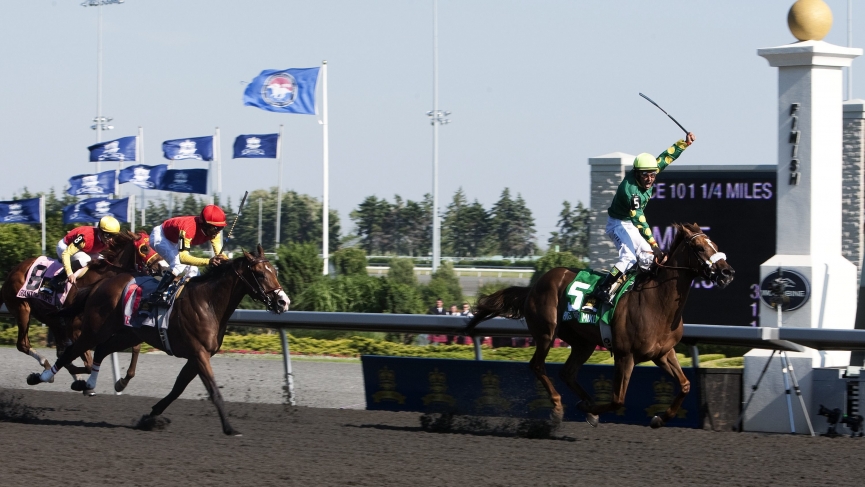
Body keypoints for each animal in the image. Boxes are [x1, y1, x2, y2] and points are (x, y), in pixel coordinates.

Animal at [0, 229, 164, 388]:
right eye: (144, 248)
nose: (164, 267)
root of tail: (15, 270)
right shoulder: (77, 329)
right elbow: (87, 363)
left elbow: (135, 347)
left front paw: (121, 381)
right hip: (22, 309)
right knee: (23, 344)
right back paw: (46, 366)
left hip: (52, 320)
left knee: (58, 349)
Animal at [27, 246, 290, 436]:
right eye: (259, 274)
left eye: (275, 272)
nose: (283, 302)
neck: (209, 303)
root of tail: (101, 283)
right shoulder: (199, 353)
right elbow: (213, 391)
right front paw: (230, 428)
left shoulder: (196, 356)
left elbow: (177, 389)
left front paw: (150, 417)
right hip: (96, 327)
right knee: (72, 351)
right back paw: (41, 377)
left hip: (126, 333)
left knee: (101, 350)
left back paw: (89, 384)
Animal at [466, 223, 736, 428]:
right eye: (699, 247)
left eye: (716, 245)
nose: (727, 272)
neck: (656, 301)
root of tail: (534, 286)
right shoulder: (625, 355)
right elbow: (618, 400)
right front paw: (592, 410)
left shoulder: (662, 353)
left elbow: (686, 385)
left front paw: (659, 419)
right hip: (546, 332)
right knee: (537, 366)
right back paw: (558, 407)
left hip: (582, 342)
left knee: (567, 372)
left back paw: (585, 404)